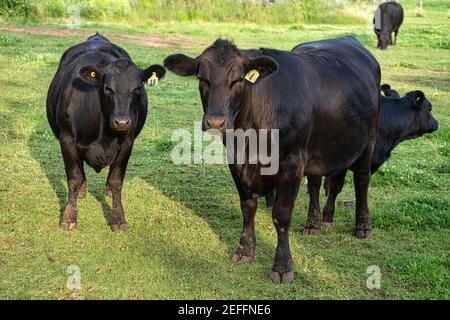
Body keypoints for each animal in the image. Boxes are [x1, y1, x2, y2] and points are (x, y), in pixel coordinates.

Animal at [46, 33, 165, 231]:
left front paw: (118, 218)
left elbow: (116, 181)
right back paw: (83, 190)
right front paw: (69, 217)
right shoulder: (67, 138)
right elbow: (74, 178)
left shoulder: (127, 142)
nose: (122, 122)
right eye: (108, 88)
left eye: (137, 89)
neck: (104, 137)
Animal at [163, 36, 382, 284]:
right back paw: (316, 222)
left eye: (238, 80)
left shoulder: (292, 165)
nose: (216, 122)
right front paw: (245, 251)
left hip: (368, 140)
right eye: (202, 79)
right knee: (320, 183)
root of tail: (347, 39)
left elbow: (281, 216)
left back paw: (363, 226)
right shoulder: (237, 163)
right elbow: (247, 208)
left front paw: (282, 266)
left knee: (361, 180)